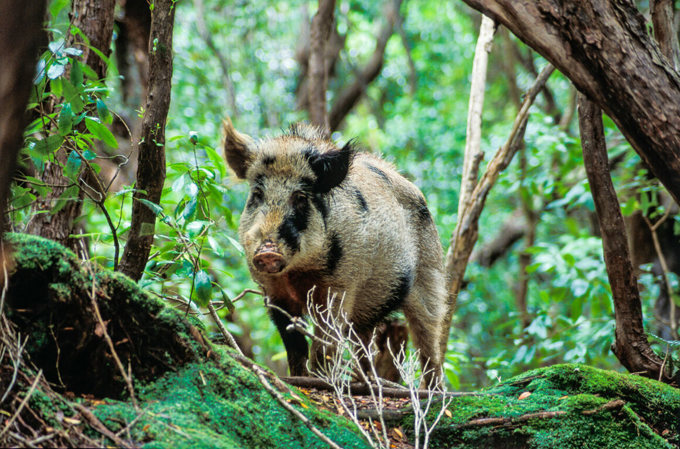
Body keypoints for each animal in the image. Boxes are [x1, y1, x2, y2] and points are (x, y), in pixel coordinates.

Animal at [223, 118, 447, 383]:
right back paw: (365, 381)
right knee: (365, 343)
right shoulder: (273, 292)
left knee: (429, 337)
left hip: (430, 273)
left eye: (300, 197)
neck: (298, 273)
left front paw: (321, 381)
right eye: (257, 194)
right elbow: (294, 344)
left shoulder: (340, 287)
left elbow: (325, 344)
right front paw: (299, 379)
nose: (267, 250)